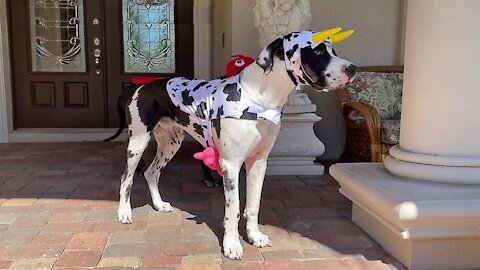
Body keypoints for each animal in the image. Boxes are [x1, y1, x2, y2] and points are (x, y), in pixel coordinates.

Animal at [118, 29, 354, 260]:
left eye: (333, 50)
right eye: (317, 51)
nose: (352, 68)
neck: (259, 98)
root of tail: (142, 87)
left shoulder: (259, 163)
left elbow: (253, 205)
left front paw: (254, 236)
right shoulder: (231, 164)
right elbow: (233, 211)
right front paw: (231, 245)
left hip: (171, 144)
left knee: (151, 172)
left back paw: (159, 204)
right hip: (137, 142)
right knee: (126, 178)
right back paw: (124, 212)